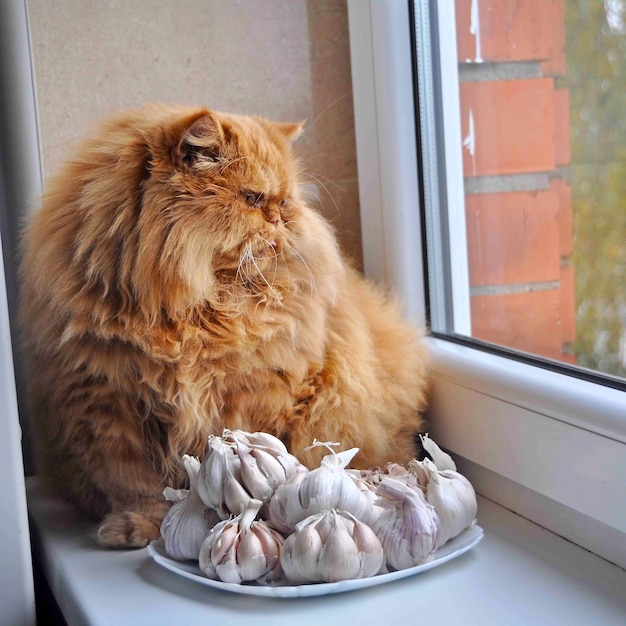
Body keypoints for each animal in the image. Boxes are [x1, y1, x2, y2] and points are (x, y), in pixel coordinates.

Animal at [20, 105, 428, 548]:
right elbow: (135, 485)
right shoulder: (108, 406)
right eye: (252, 198)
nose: (279, 218)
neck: (190, 315)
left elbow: (264, 459)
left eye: (284, 201)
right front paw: (139, 527)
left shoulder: (265, 399)